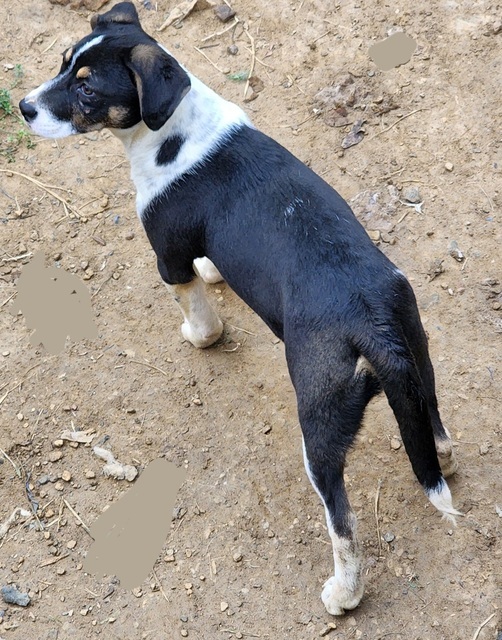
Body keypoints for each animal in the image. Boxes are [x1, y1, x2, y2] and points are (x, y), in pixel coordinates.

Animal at [19, 2, 458, 616]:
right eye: (63, 63)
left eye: (86, 88)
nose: (22, 107)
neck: (176, 129)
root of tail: (371, 324)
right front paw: (214, 271)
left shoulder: (168, 257)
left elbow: (202, 320)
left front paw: (196, 332)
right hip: (418, 363)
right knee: (435, 437)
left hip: (319, 430)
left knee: (342, 522)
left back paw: (343, 593)